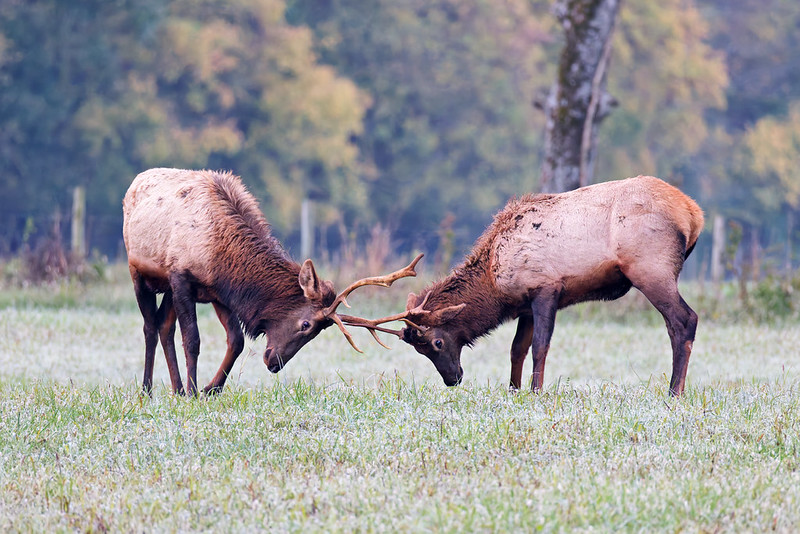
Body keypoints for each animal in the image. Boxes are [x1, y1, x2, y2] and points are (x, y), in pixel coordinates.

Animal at [123, 168, 422, 396]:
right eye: (306, 324)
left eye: (319, 331)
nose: (274, 363)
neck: (221, 256)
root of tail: (135, 181)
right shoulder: (181, 277)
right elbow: (193, 339)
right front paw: (196, 390)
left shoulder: (219, 293)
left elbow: (236, 341)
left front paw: (210, 389)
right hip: (138, 272)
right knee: (150, 327)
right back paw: (148, 390)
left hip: (167, 289)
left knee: (163, 326)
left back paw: (177, 390)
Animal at [342, 175, 704, 396]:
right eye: (419, 349)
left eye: (436, 343)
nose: (453, 379)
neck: (495, 282)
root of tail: (694, 214)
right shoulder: (526, 305)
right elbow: (517, 348)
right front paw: (513, 390)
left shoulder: (546, 288)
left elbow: (540, 346)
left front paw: (535, 390)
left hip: (651, 269)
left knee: (684, 320)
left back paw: (674, 392)